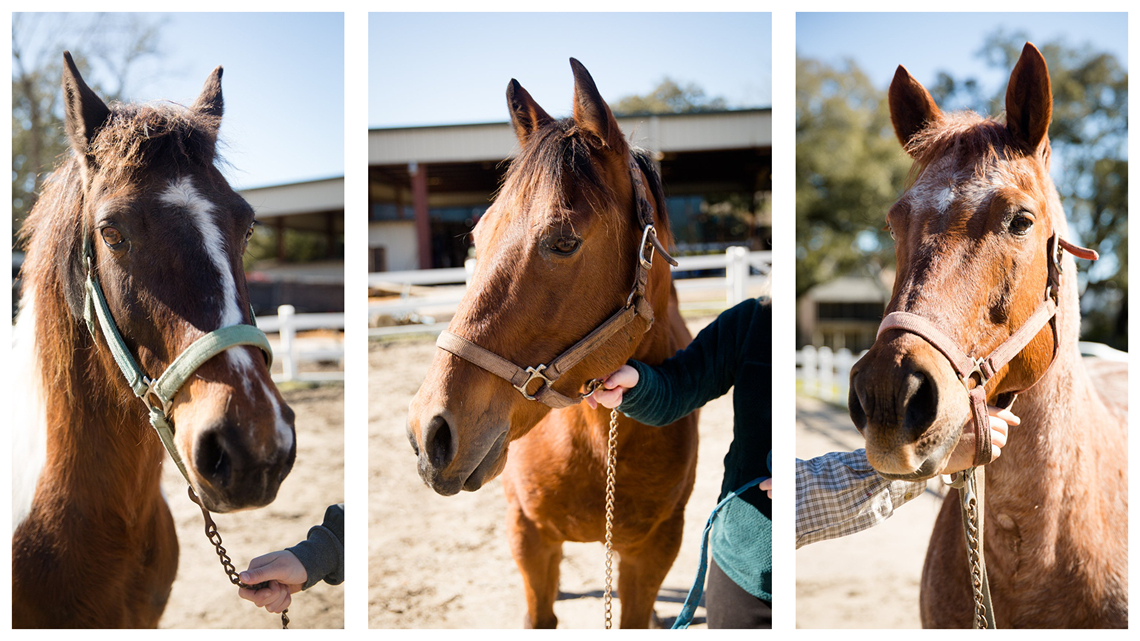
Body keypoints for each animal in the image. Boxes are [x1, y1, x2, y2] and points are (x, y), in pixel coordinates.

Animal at [410, 57, 693, 625]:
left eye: (563, 242)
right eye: (477, 236)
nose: (430, 432)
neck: (596, 442)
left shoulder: (654, 550)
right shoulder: (528, 536)